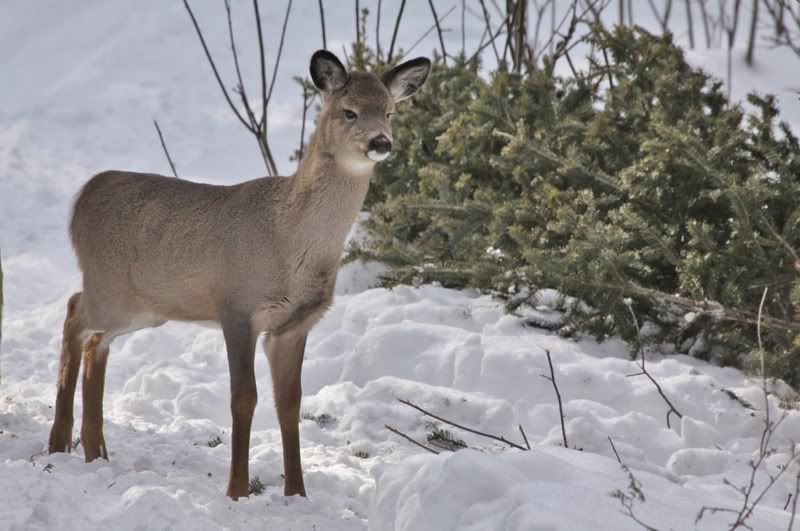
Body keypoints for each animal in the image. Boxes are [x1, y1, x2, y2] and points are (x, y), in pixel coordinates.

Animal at [47, 48, 432, 498]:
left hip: (146, 308)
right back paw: (58, 443)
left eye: (389, 112)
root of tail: (82, 196)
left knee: (95, 343)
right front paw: (237, 490)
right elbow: (243, 398)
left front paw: (297, 492)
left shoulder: (293, 325)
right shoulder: (236, 307)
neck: (289, 240)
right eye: (349, 111)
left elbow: (290, 402)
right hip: (111, 291)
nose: (381, 142)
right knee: (73, 313)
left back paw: (96, 451)